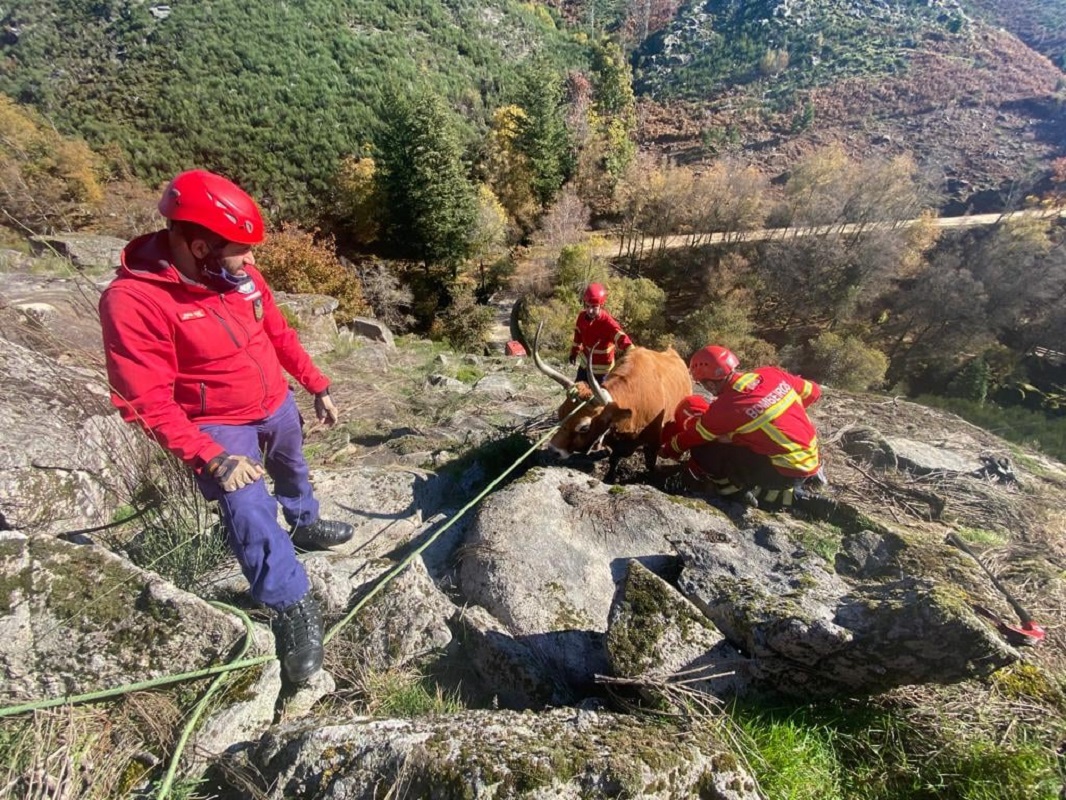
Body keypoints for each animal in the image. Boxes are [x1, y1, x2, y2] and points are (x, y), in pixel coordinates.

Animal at [530, 323, 692, 482]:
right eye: (560, 413)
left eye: (584, 427)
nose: (553, 450)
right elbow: (613, 459)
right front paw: (609, 476)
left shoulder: (653, 443)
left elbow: (650, 464)